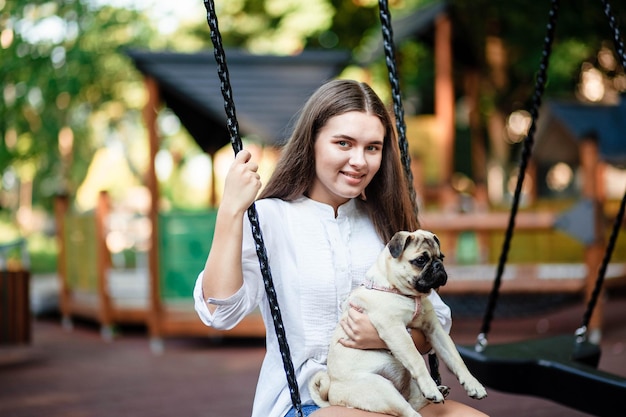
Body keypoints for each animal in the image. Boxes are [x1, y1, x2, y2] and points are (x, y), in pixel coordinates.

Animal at [310, 229, 486, 414]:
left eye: (442, 257)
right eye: (420, 260)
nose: (438, 265)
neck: (407, 294)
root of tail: (333, 396)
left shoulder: (435, 330)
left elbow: (456, 359)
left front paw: (473, 385)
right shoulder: (394, 329)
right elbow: (416, 358)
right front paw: (430, 387)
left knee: (413, 402)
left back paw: (439, 391)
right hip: (380, 388)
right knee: (407, 410)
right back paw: (433, 392)